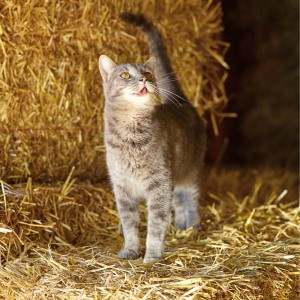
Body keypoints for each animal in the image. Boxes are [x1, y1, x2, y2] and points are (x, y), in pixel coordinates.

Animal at [98, 13, 206, 262]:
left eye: (147, 73)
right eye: (125, 75)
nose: (144, 80)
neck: (131, 133)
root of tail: (181, 101)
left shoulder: (159, 184)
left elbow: (156, 224)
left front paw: (152, 256)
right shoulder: (122, 188)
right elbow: (129, 224)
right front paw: (130, 250)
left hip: (191, 172)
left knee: (191, 200)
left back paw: (193, 226)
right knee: (179, 202)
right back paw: (180, 225)